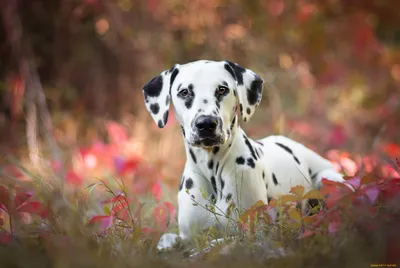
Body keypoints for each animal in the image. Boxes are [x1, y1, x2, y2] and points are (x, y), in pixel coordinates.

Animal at [142, 59, 348, 250]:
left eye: (222, 89)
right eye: (184, 92)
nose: (206, 123)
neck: (212, 171)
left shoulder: (258, 232)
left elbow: (221, 242)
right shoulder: (187, 234)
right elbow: (168, 238)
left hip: (327, 179)